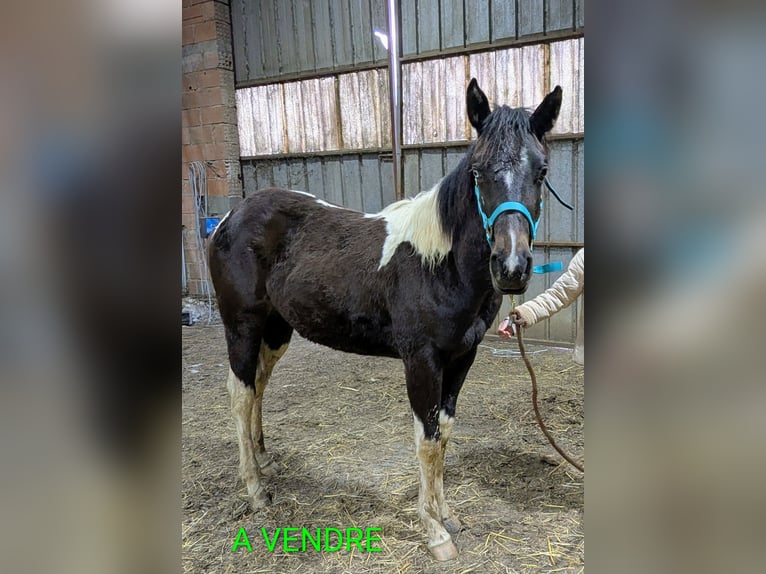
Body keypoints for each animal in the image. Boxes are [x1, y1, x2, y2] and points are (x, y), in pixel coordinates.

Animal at [207, 78, 562, 561]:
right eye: (478, 171)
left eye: (540, 171)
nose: (510, 267)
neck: (440, 264)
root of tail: (230, 217)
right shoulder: (422, 361)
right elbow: (427, 439)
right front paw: (435, 533)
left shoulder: (462, 358)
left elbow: (444, 431)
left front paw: (447, 515)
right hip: (241, 327)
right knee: (241, 394)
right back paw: (256, 489)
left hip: (277, 330)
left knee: (259, 385)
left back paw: (264, 461)